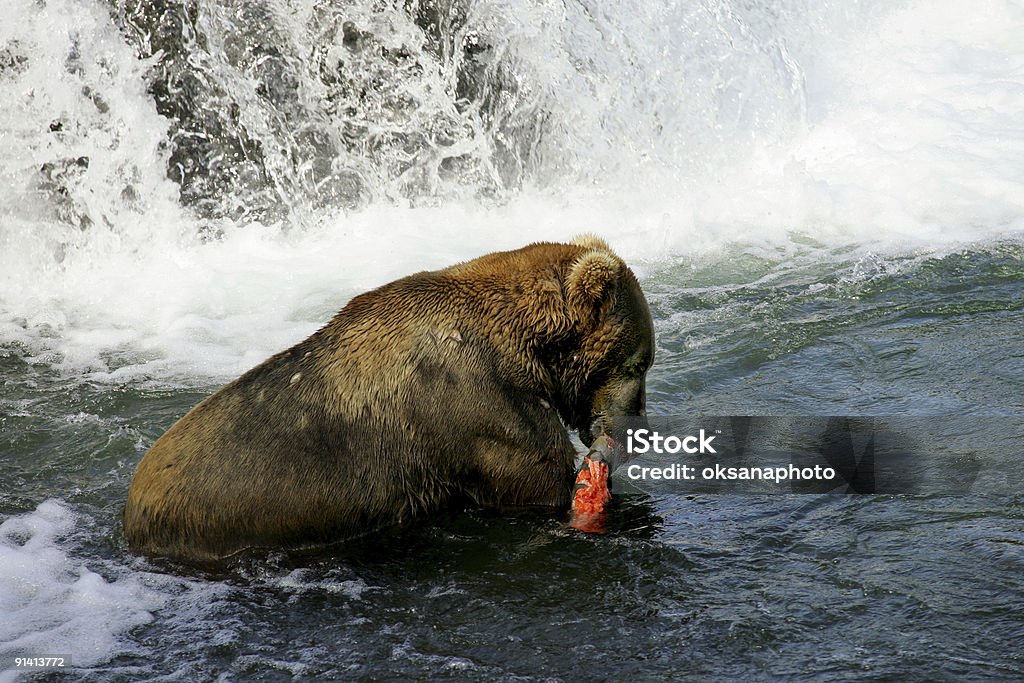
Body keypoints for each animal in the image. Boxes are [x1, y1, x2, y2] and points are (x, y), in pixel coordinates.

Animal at [125, 235, 655, 561]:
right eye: (638, 363)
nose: (640, 429)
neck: (531, 347)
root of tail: (130, 512)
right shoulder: (483, 409)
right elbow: (535, 480)